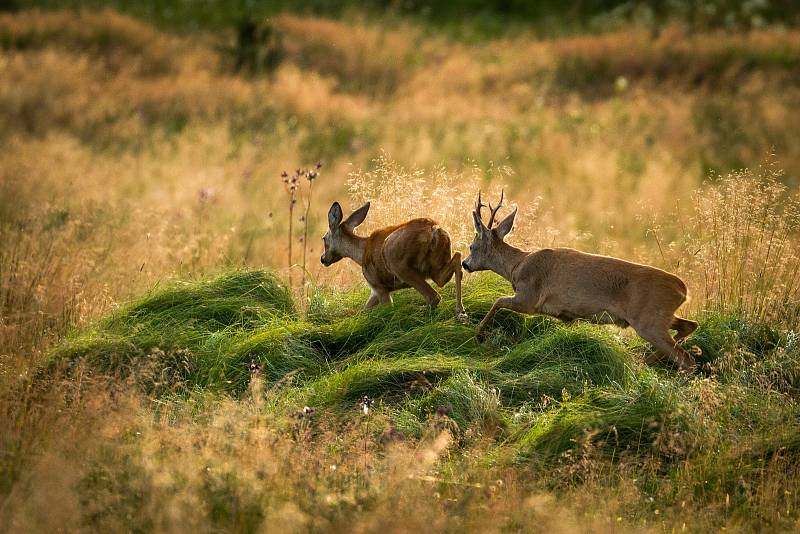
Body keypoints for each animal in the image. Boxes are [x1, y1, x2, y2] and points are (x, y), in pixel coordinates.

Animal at [320, 201, 468, 318]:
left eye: (324, 238)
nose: (323, 259)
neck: (360, 254)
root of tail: (434, 229)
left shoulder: (377, 284)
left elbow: (385, 308)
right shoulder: (377, 290)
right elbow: (364, 309)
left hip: (398, 264)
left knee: (434, 296)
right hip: (436, 266)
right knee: (456, 258)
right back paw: (460, 310)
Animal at [460, 193, 696, 372]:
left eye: (471, 246)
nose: (464, 264)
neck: (517, 267)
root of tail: (684, 291)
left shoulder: (529, 297)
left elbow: (497, 301)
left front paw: (478, 333)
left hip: (649, 321)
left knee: (686, 358)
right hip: (659, 317)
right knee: (689, 326)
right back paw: (642, 362)